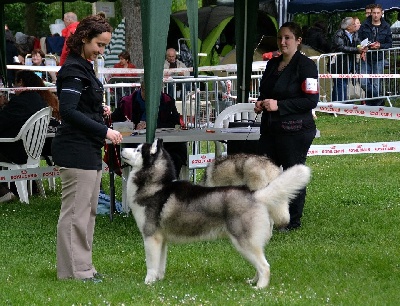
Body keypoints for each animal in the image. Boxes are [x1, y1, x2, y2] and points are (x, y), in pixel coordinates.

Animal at [122, 140, 312, 288]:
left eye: (138, 149)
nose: (121, 148)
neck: (156, 185)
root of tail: (254, 194)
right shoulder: (162, 239)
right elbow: (160, 265)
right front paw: (159, 281)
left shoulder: (151, 237)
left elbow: (151, 265)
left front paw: (148, 283)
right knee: (259, 264)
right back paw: (253, 281)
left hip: (244, 242)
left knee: (265, 266)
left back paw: (260, 287)